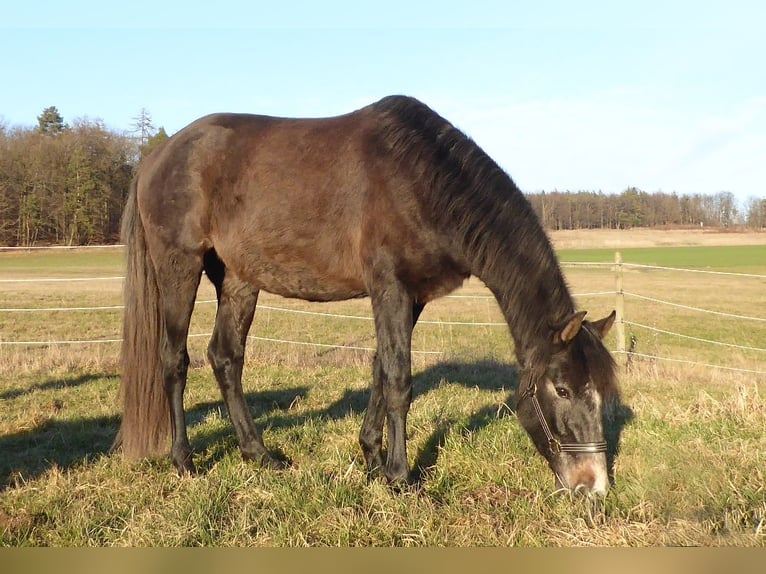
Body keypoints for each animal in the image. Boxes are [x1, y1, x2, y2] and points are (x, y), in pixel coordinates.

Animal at [114, 94, 620, 496]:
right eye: (561, 389)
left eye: (602, 393)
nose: (593, 487)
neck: (422, 181)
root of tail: (157, 158)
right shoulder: (389, 288)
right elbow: (399, 378)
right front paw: (400, 476)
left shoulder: (412, 297)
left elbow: (380, 370)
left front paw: (372, 460)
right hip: (180, 267)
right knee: (174, 360)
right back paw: (183, 460)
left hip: (239, 280)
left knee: (225, 358)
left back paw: (258, 454)